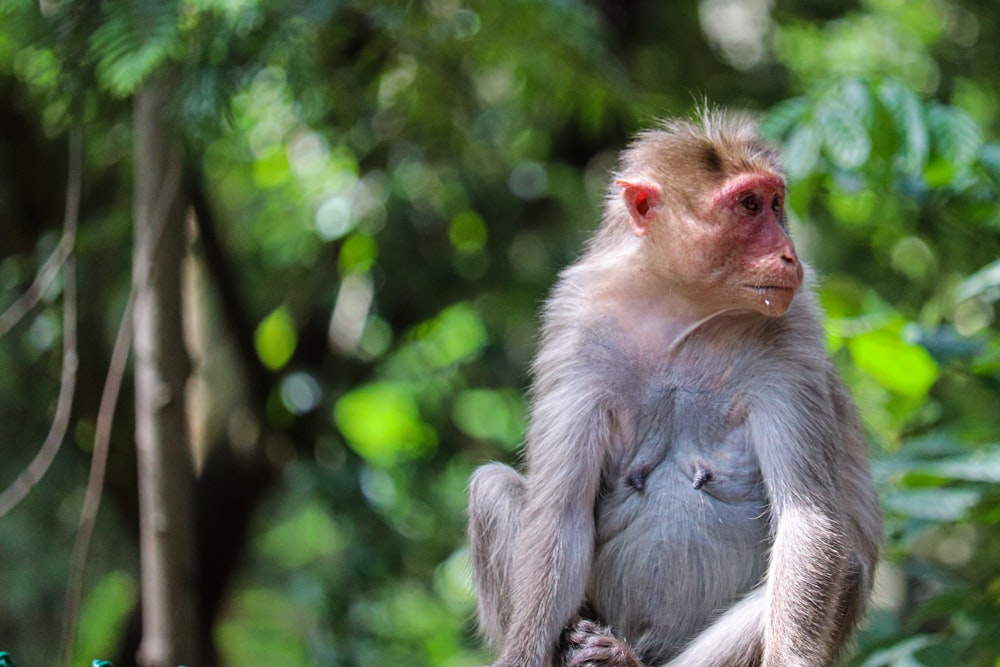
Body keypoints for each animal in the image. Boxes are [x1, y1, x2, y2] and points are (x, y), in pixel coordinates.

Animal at [464, 111, 880, 667]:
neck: (680, 309)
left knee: (845, 565)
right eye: (750, 205)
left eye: (775, 203)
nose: (790, 256)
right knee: (490, 486)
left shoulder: (794, 336)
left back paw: (620, 658)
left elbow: (807, 522)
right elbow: (560, 515)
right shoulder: (575, 323)